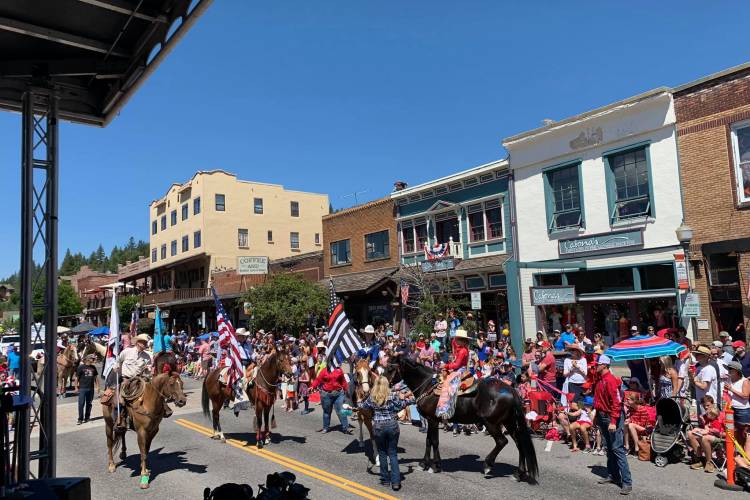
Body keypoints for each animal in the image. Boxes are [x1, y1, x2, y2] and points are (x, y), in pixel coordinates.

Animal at [388, 358, 540, 482]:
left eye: (390, 368)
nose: (386, 384)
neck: (427, 386)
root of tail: (511, 390)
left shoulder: (432, 420)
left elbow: (434, 441)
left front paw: (435, 466)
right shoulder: (432, 420)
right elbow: (428, 441)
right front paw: (424, 464)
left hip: (491, 423)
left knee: (502, 441)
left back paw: (488, 465)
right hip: (509, 423)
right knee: (520, 444)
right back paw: (518, 474)